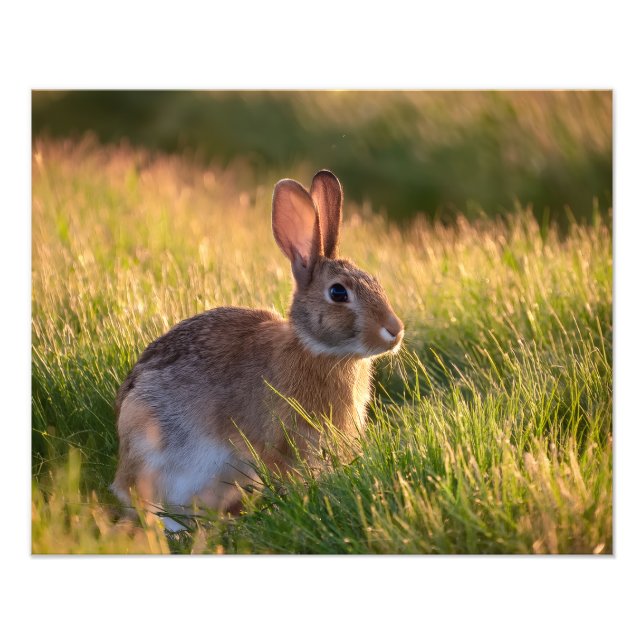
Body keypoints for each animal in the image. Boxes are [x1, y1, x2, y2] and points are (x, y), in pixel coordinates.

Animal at [111, 170, 404, 530]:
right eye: (338, 293)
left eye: (375, 282)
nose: (395, 330)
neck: (318, 350)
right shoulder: (278, 442)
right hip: (150, 443)